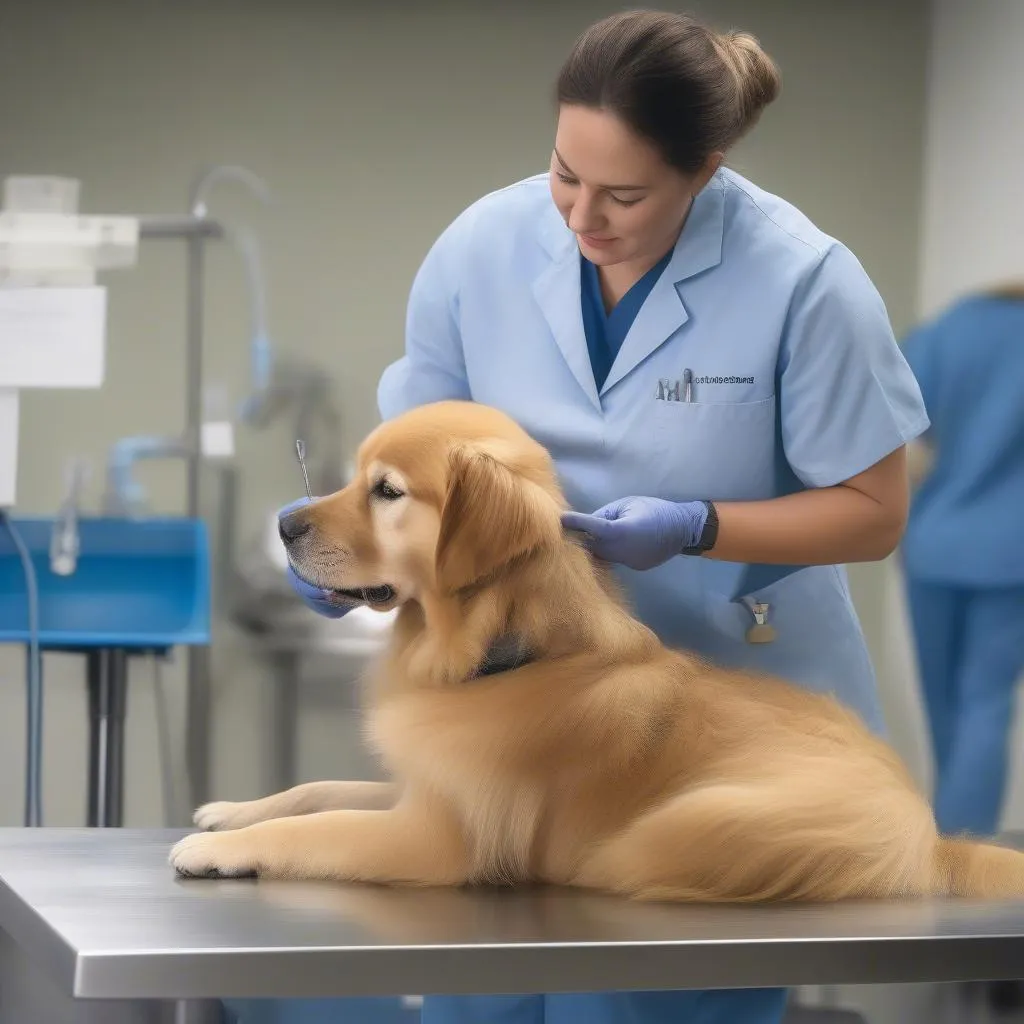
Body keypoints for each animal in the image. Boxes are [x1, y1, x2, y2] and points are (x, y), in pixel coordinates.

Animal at [172, 399, 1024, 905]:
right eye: (352, 477)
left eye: (386, 491)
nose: (284, 527)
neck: (510, 653)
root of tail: (930, 833)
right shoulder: (426, 785)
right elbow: (318, 789)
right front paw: (232, 809)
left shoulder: (444, 836)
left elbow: (316, 828)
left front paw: (221, 847)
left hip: (692, 823)